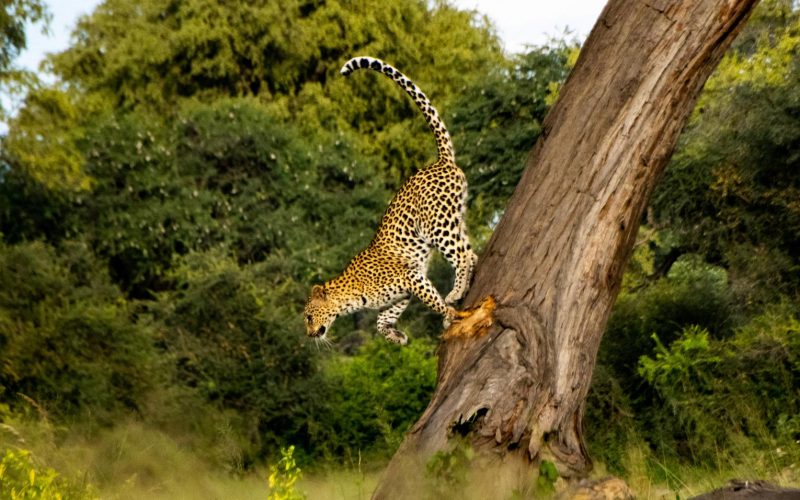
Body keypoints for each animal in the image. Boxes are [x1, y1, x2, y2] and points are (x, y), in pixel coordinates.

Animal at [304, 54, 478, 344]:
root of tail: (441, 161)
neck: (350, 296)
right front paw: (396, 336)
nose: (308, 335)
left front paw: (447, 313)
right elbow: (380, 320)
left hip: (436, 226)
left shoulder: (411, 278)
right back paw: (463, 288)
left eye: (308, 317)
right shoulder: (399, 295)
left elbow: (432, 300)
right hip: (454, 217)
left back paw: (456, 292)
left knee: (463, 255)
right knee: (470, 251)